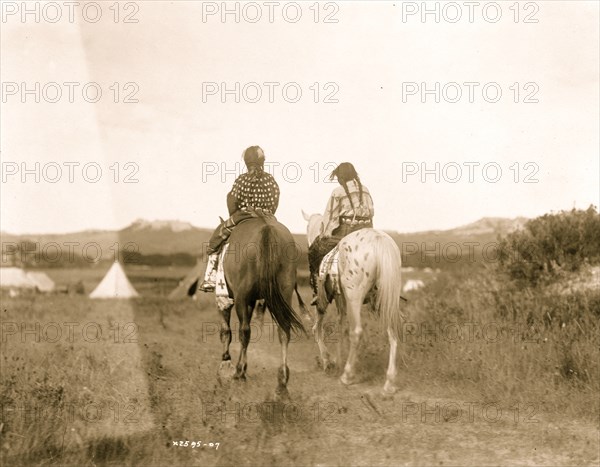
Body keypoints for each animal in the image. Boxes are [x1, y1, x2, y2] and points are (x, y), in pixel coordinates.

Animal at [300, 212, 404, 394]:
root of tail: (379, 240)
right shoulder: (341, 299)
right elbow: (340, 325)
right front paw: (337, 360)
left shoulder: (325, 299)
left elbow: (318, 328)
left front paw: (328, 362)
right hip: (385, 300)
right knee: (392, 331)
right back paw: (389, 382)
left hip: (354, 296)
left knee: (356, 331)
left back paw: (347, 375)